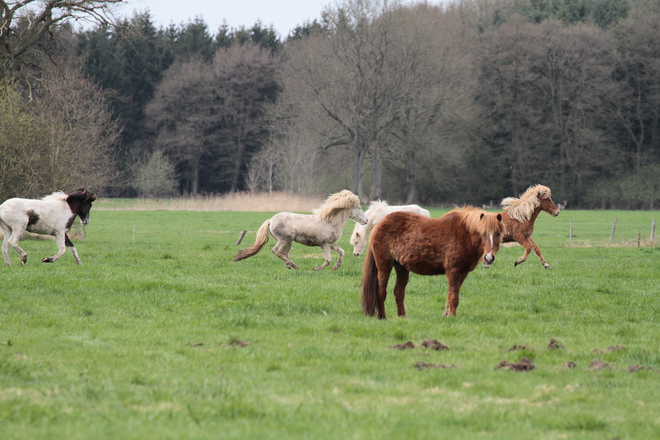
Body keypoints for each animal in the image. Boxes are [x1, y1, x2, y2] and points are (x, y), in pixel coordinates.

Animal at [233, 190, 368, 270]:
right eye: (359, 207)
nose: (366, 220)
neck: (330, 221)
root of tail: (270, 220)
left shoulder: (332, 244)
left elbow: (342, 252)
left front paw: (336, 266)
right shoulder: (324, 244)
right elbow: (328, 260)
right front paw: (317, 269)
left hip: (288, 242)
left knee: (284, 254)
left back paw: (293, 267)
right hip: (285, 240)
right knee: (276, 251)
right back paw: (291, 265)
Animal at [358, 208, 502, 318]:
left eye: (498, 234)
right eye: (482, 234)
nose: (489, 258)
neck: (464, 235)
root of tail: (379, 225)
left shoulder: (462, 273)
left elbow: (452, 296)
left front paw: (447, 315)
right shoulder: (453, 272)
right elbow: (453, 297)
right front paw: (452, 316)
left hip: (401, 267)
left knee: (398, 292)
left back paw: (402, 316)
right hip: (384, 266)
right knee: (381, 291)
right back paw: (382, 317)